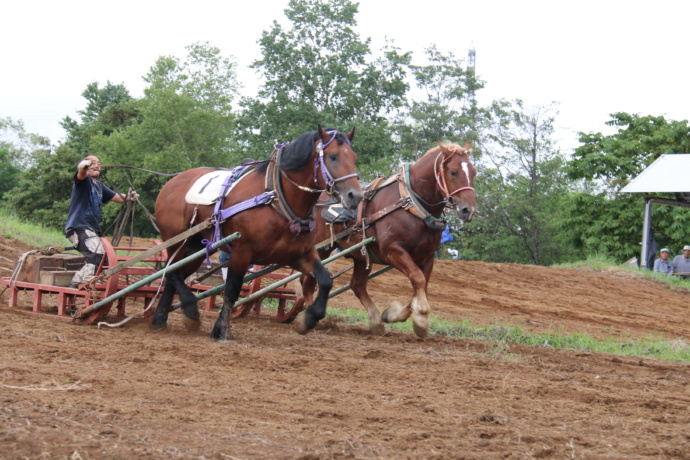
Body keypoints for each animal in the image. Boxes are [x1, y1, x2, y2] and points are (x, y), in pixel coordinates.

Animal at [154, 126, 362, 342]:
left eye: (354, 157)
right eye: (333, 156)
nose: (355, 196)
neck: (276, 200)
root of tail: (173, 181)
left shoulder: (298, 254)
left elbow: (325, 279)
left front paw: (309, 319)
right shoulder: (242, 252)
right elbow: (231, 290)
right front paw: (223, 330)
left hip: (195, 248)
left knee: (174, 275)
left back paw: (160, 318)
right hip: (175, 241)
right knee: (171, 271)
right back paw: (190, 311)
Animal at [298, 142, 476, 340]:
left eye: (474, 172)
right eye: (453, 172)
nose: (468, 210)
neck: (410, 205)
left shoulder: (427, 257)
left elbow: (422, 285)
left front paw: (393, 315)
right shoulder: (393, 250)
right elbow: (418, 279)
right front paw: (421, 319)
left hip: (361, 254)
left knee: (357, 285)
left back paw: (376, 321)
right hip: (321, 249)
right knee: (308, 281)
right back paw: (309, 317)